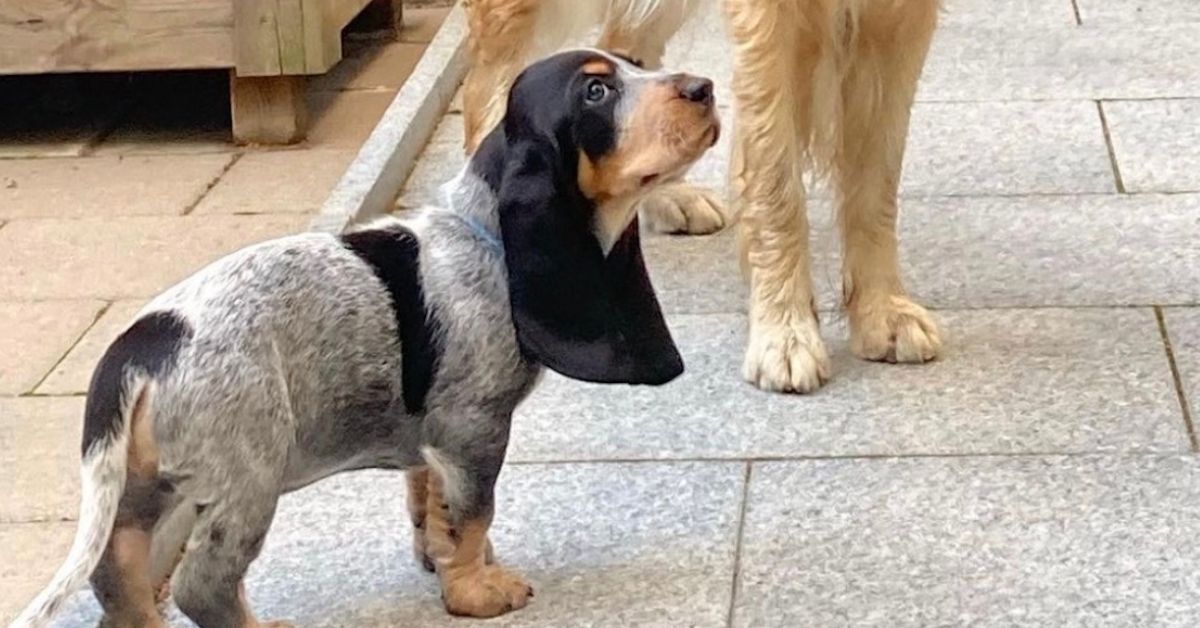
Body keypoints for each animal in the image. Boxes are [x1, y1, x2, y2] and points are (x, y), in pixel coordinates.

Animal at [14, 49, 715, 628]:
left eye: (638, 65)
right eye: (596, 92)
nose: (704, 87)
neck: (482, 234)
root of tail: (140, 346)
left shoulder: (436, 441)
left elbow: (436, 506)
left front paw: (452, 563)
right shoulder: (475, 429)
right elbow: (473, 513)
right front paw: (477, 592)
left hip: (138, 489)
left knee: (118, 576)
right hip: (248, 477)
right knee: (201, 585)